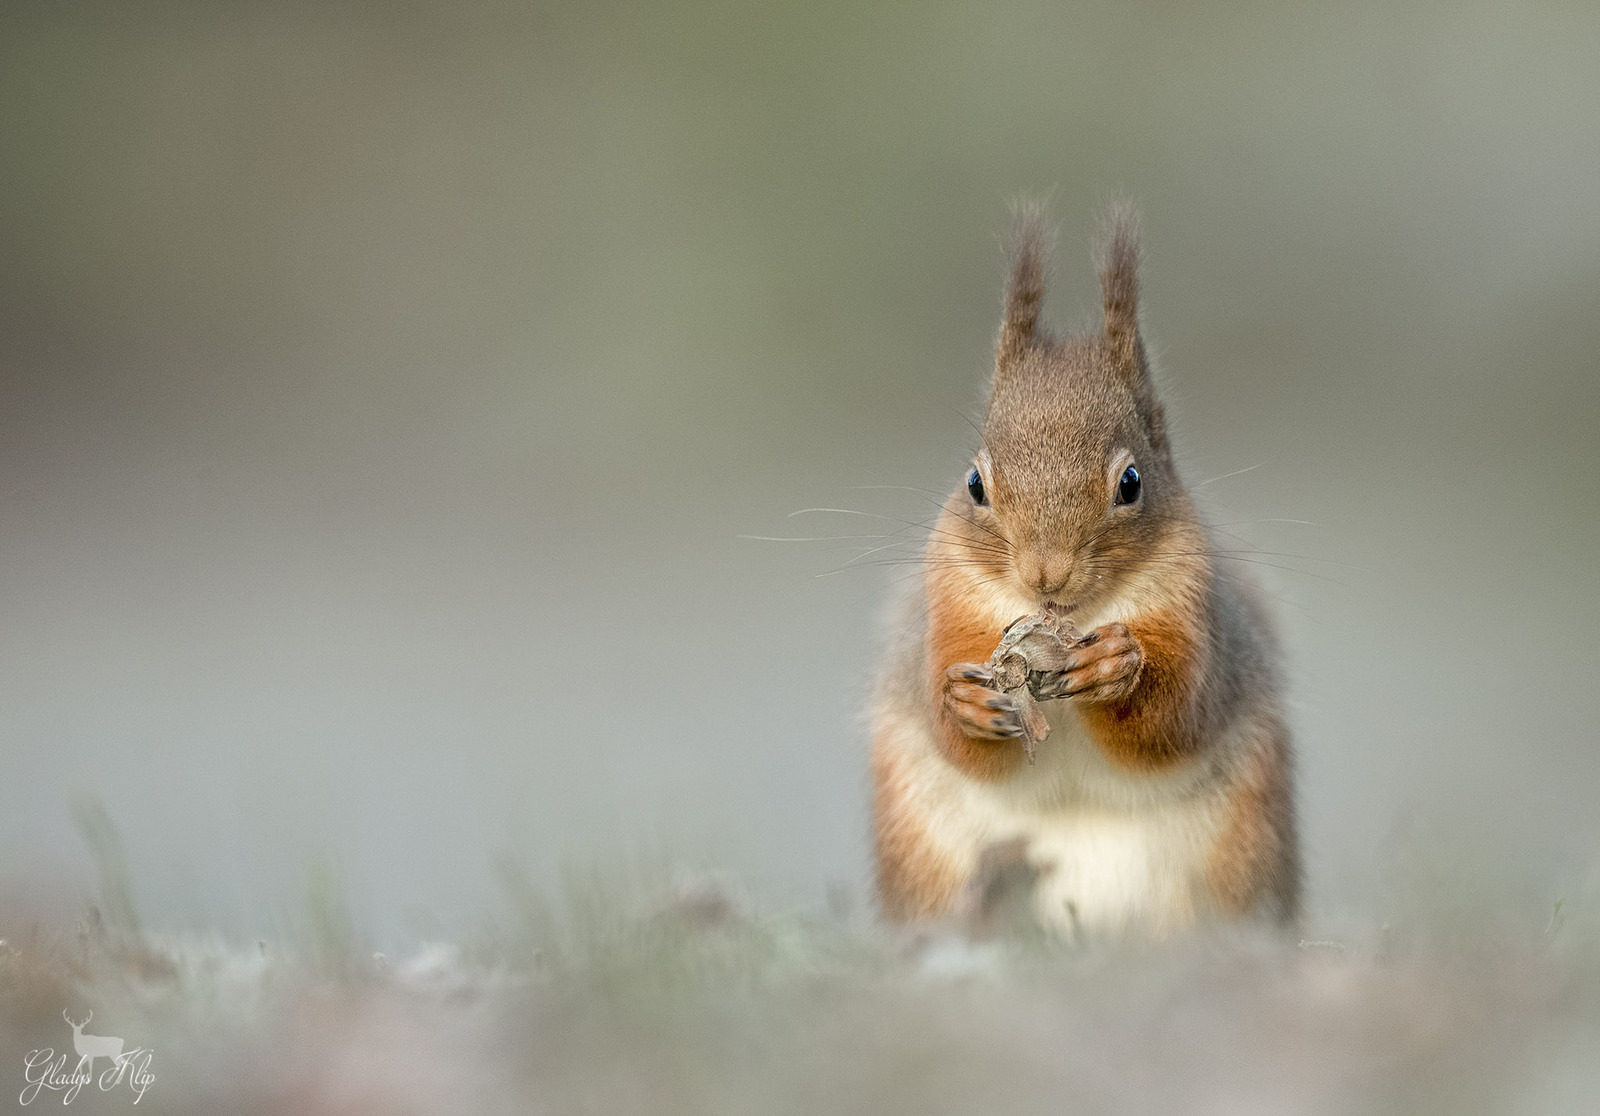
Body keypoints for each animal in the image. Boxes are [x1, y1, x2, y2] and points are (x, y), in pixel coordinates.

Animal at [876, 204, 1299, 933]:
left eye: (1131, 483)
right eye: (975, 485)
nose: (1046, 576)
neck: (1069, 619)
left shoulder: (1198, 616)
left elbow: (1178, 717)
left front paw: (1116, 668)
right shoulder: (948, 606)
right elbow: (953, 733)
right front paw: (963, 701)